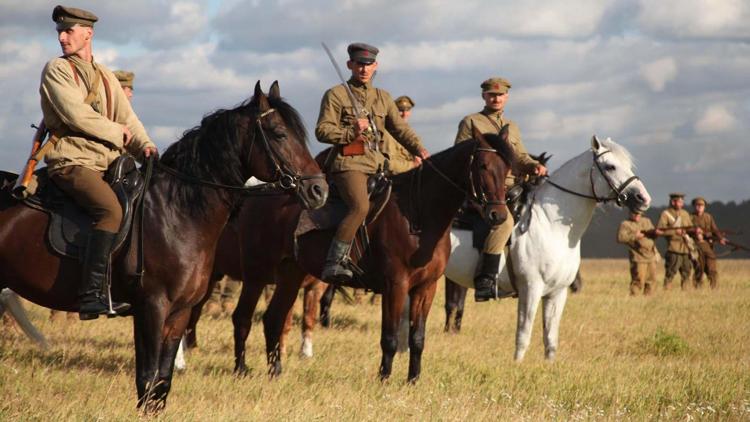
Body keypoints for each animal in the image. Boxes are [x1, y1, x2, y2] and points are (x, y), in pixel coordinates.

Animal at [0, 81, 328, 410]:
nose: (319, 190)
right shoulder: (152, 307)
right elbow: (147, 379)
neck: (176, 211)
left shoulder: (178, 312)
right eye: (279, 133)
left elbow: (162, 381)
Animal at [234, 127, 516, 380]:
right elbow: (389, 337)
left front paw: (413, 379)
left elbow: (417, 338)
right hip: (256, 276)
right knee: (243, 317)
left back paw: (275, 372)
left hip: (290, 275)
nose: (499, 215)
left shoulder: (426, 288)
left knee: (273, 319)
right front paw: (384, 379)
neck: (418, 215)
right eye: (483, 166)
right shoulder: (395, 286)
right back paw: (241, 369)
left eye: (507, 168)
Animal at [446, 137, 652, 362]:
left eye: (628, 165)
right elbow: (523, 336)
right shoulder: (531, 289)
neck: (550, 224)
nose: (643, 198)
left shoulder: (557, 293)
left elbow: (550, 340)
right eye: (610, 166)